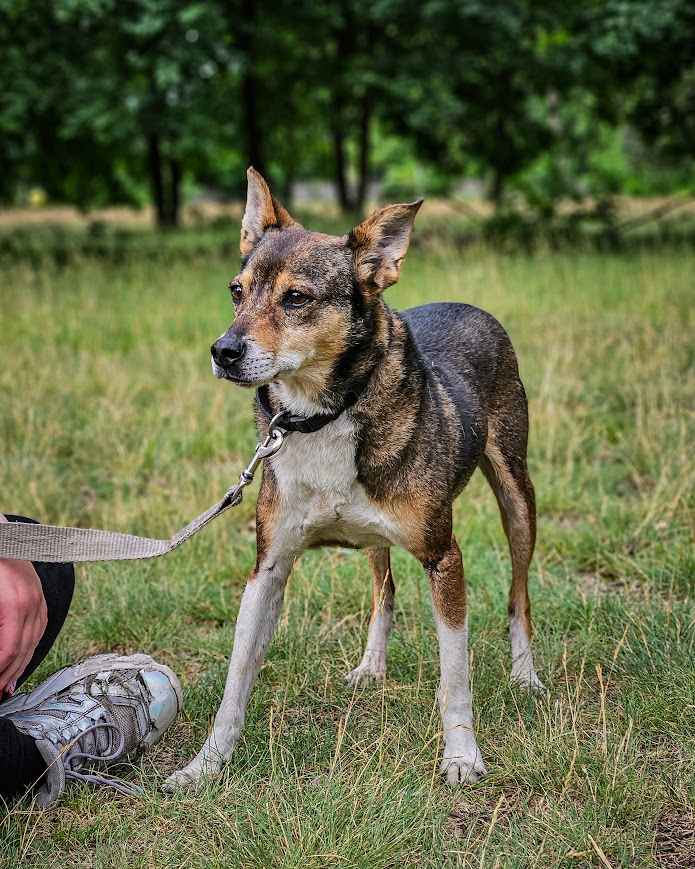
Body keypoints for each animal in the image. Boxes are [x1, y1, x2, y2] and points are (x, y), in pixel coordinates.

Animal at [163, 166, 544, 792]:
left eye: (297, 298)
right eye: (236, 291)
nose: (223, 351)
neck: (322, 414)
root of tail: (471, 306)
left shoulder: (444, 556)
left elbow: (455, 677)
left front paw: (462, 756)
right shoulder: (268, 567)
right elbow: (236, 679)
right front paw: (205, 765)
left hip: (517, 495)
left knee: (518, 595)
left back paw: (526, 675)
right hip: (375, 540)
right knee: (384, 591)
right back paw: (371, 667)